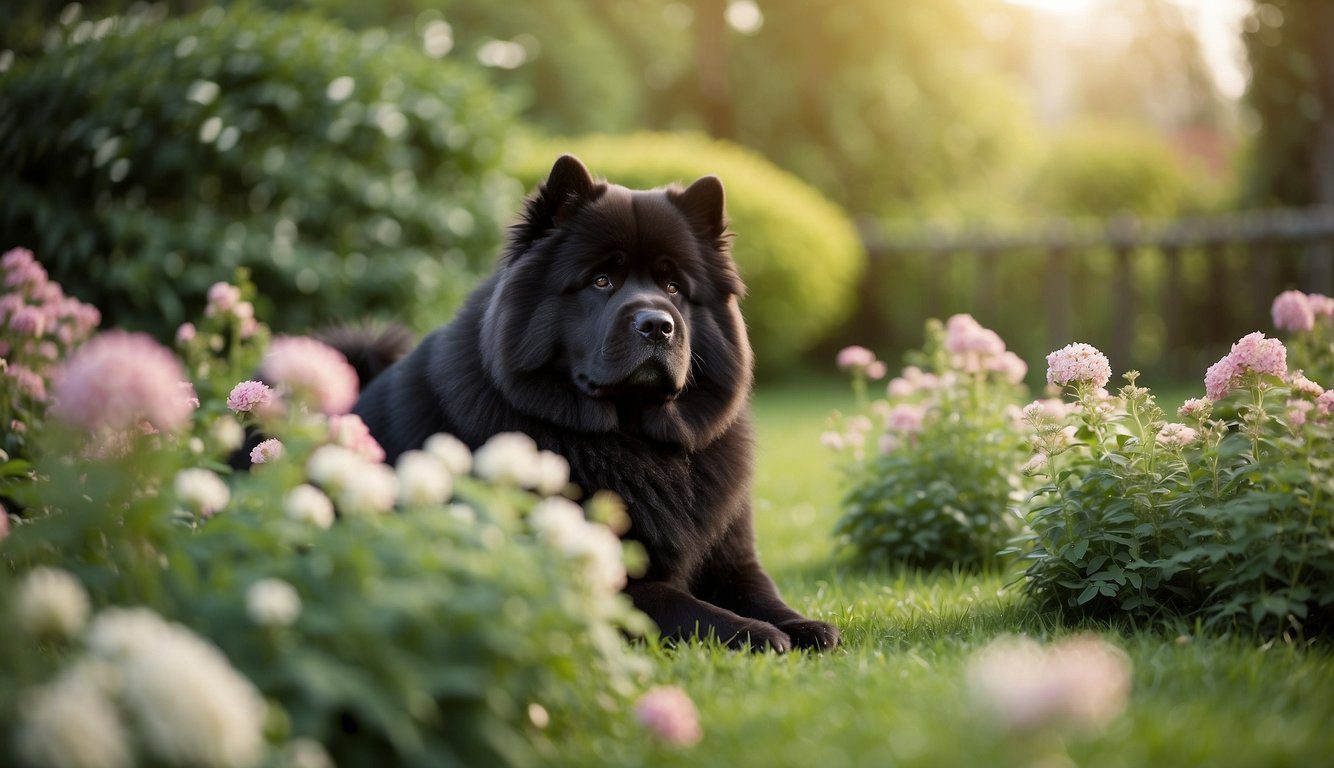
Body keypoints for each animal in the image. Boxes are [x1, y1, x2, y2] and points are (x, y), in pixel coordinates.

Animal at [349, 156, 837, 653]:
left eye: (673, 287)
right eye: (602, 281)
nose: (657, 325)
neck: (633, 438)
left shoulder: (732, 557)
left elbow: (760, 590)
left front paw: (805, 626)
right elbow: (683, 604)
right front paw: (757, 633)